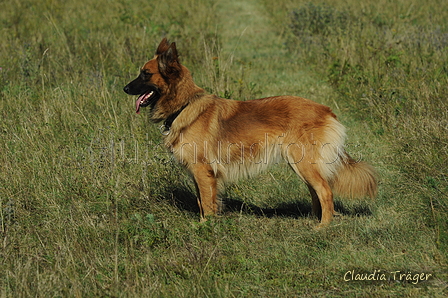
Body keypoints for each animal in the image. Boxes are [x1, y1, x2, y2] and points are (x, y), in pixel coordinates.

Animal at [123, 38, 378, 227]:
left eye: (145, 74)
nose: (124, 88)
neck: (184, 105)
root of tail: (326, 110)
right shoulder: (200, 174)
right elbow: (203, 201)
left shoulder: (202, 171)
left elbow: (206, 203)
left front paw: (205, 228)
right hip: (302, 165)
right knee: (316, 192)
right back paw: (315, 220)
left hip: (303, 162)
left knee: (325, 192)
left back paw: (322, 227)